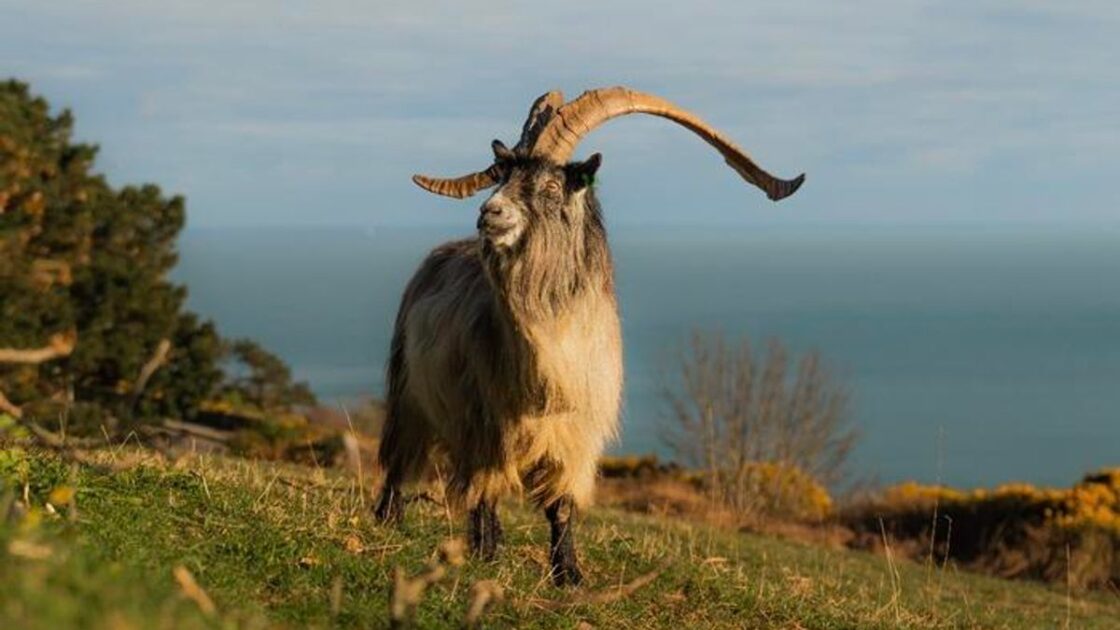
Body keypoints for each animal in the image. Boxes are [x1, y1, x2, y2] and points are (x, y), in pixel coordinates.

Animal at [375, 86, 804, 586]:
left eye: (551, 186)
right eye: (503, 177)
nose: (489, 213)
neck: (551, 352)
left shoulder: (576, 435)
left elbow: (561, 506)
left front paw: (569, 574)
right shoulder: (485, 423)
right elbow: (486, 492)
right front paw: (488, 555)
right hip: (409, 394)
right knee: (403, 460)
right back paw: (391, 519)